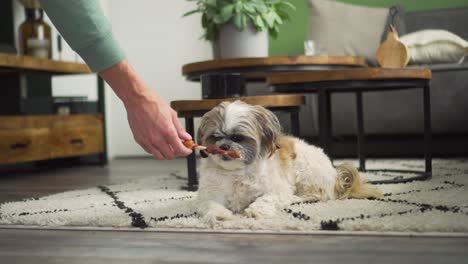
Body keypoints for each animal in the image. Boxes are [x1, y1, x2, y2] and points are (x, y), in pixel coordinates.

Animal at [196, 101, 382, 223]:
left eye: (237, 138)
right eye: (215, 137)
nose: (224, 146)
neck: (236, 173)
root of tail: (335, 175)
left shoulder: (277, 191)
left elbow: (266, 199)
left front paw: (255, 211)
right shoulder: (208, 194)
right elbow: (210, 203)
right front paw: (219, 214)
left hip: (306, 171)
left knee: (318, 195)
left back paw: (297, 198)